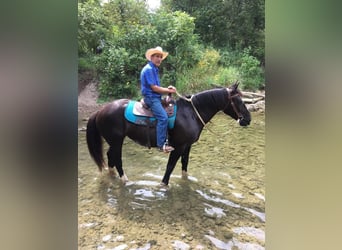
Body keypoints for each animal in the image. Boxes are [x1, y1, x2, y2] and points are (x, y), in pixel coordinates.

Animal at [85, 83, 251, 185]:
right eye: (238, 100)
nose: (248, 119)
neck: (191, 113)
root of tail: (99, 111)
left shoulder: (187, 146)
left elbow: (185, 164)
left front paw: (185, 181)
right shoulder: (178, 146)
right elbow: (170, 167)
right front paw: (163, 185)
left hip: (113, 141)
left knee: (109, 156)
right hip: (117, 141)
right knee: (117, 159)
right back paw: (125, 180)